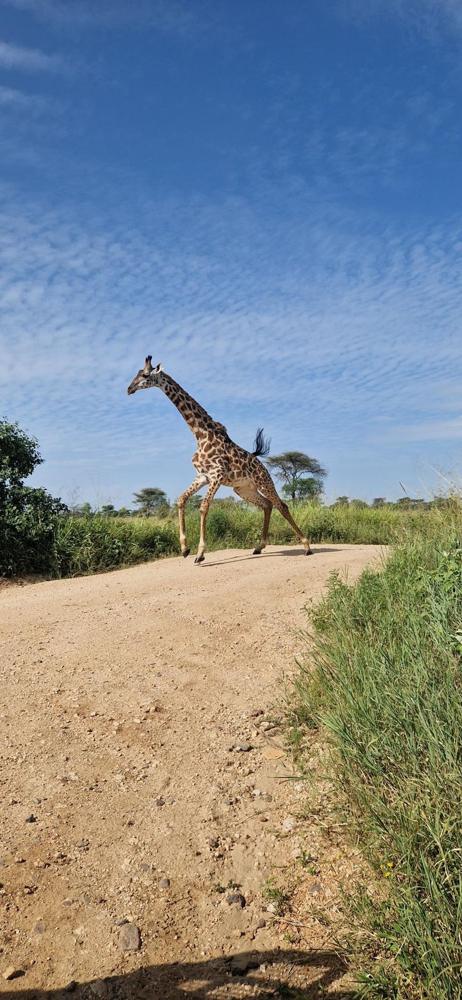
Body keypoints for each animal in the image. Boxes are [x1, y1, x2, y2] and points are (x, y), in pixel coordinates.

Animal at [127, 357, 312, 563]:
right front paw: (184, 548)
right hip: (243, 489)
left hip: (263, 482)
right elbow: (181, 500)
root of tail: (261, 465)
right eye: (136, 373)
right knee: (267, 505)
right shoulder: (202, 476)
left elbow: (203, 507)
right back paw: (259, 546)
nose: (129, 389)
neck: (200, 434)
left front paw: (200, 554)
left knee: (282, 505)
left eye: (145, 375)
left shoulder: (217, 474)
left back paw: (307, 546)